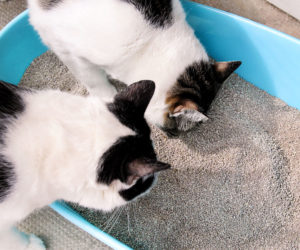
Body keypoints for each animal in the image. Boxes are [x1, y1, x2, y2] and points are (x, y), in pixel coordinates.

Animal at [27, 0, 240, 137]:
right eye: (173, 130)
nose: (174, 137)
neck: (155, 40)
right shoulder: (66, 45)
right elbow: (93, 79)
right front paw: (108, 97)